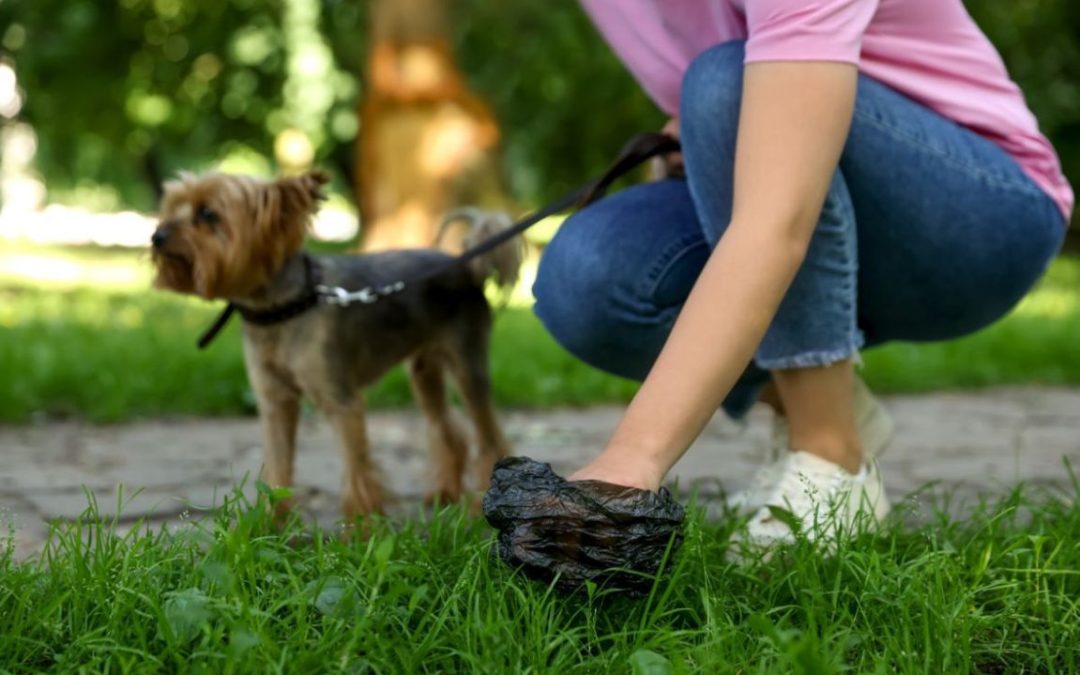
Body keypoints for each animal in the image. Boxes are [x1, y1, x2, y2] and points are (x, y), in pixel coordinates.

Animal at [152, 170, 522, 518]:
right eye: (170, 207)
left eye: (208, 214)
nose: (156, 236)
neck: (281, 309)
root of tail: (468, 265)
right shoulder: (275, 402)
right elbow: (277, 469)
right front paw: (271, 525)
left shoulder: (341, 401)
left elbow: (357, 469)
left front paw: (359, 528)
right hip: (424, 371)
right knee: (447, 429)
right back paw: (445, 494)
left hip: (466, 365)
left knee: (489, 437)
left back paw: (480, 504)